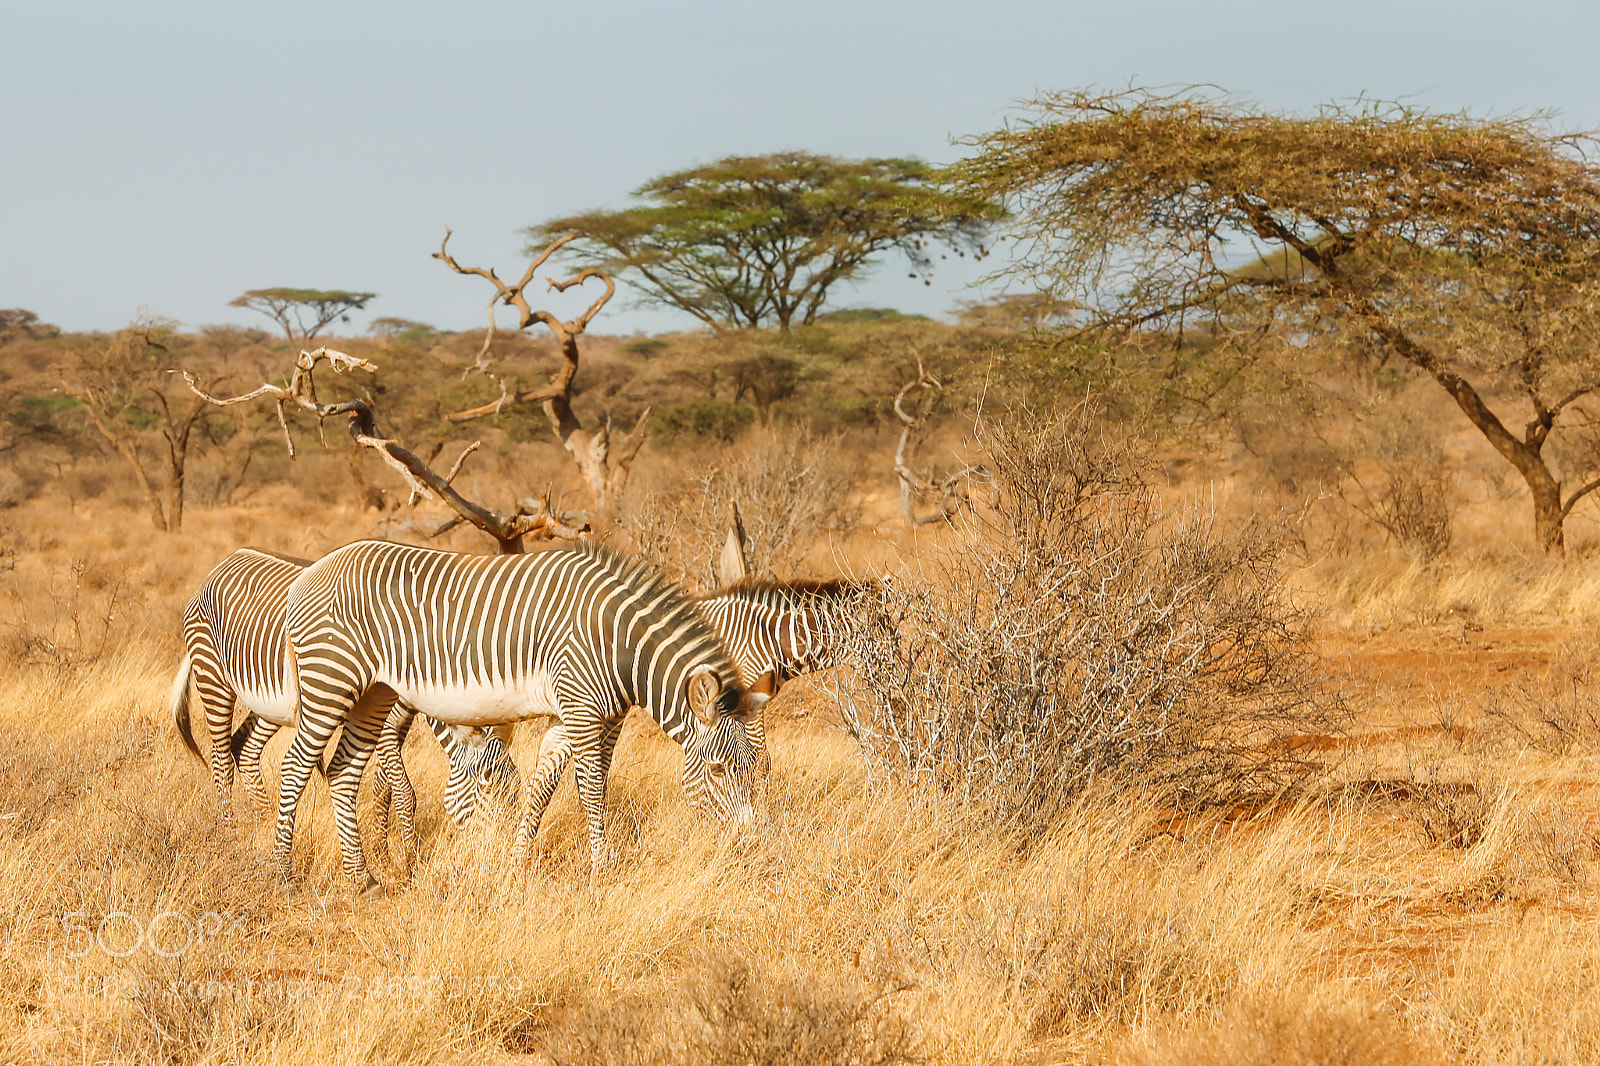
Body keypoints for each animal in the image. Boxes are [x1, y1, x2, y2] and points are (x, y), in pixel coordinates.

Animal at [170, 548, 521, 850]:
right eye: (489, 792)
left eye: (514, 795)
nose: (499, 860)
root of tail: (223, 563)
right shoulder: (385, 720)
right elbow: (404, 792)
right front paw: (409, 858)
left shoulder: (397, 719)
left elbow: (384, 788)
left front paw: (383, 851)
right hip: (213, 677)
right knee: (220, 760)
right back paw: (229, 832)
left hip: (276, 703)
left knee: (243, 746)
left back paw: (264, 823)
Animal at [275, 539, 765, 888]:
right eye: (718, 770)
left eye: (755, 769)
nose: (749, 846)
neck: (620, 645)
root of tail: (308, 573)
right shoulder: (581, 707)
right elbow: (592, 790)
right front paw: (603, 871)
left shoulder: (574, 715)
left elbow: (542, 788)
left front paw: (515, 862)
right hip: (330, 679)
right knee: (295, 766)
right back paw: (284, 875)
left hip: (372, 692)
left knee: (342, 771)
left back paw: (363, 879)